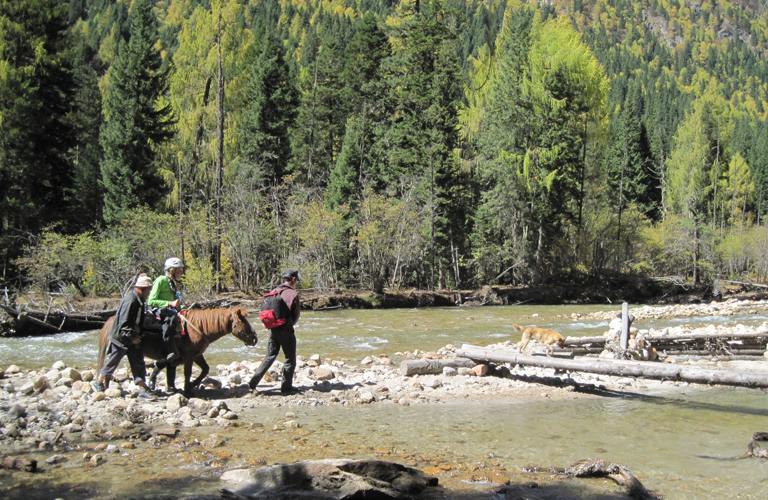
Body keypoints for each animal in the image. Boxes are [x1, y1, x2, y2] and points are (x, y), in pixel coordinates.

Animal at [96, 306, 256, 396]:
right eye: (243, 321)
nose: (254, 339)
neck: (197, 328)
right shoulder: (189, 356)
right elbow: (188, 372)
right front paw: (187, 389)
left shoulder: (197, 355)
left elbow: (205, 369)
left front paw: (191, 385)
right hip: (121, 350)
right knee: (110, 367)